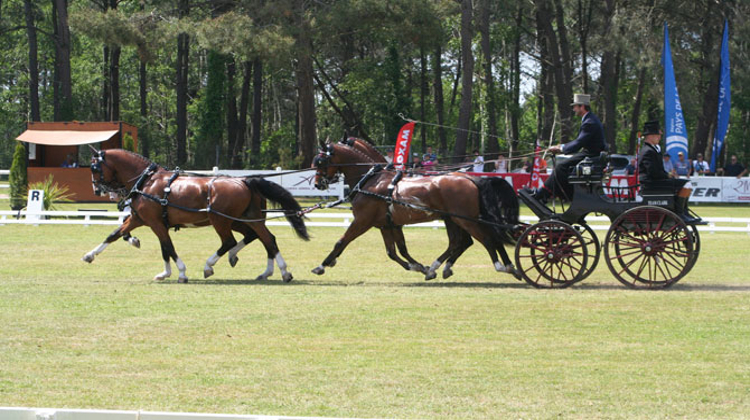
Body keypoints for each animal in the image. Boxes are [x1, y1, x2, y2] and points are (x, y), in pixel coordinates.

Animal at [85, 149, 312, 284]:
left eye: (94, 168)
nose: (96, 189)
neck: (146, 181)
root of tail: (245, 181)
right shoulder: (144, 220)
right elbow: (115, 235)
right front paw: (90, 255)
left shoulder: (155, 223)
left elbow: (168, 247)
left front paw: (181, 273)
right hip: (246, 219)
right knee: (266, 239)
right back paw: (280, 272)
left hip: (220, 220)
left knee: (230, 242)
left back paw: (210, 266)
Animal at [312, 141, 524, 282]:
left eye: (321, 161)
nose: (317, 184)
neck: (372, 180)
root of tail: (470, 178)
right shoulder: (387, 225)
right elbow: (395, 251)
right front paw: (418, 267)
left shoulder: (362, 221)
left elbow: (341, 242)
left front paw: (322, 265)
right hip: (455, 219)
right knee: (463, 242)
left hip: (466, 220)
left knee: (487, 239)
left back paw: (503, 266)